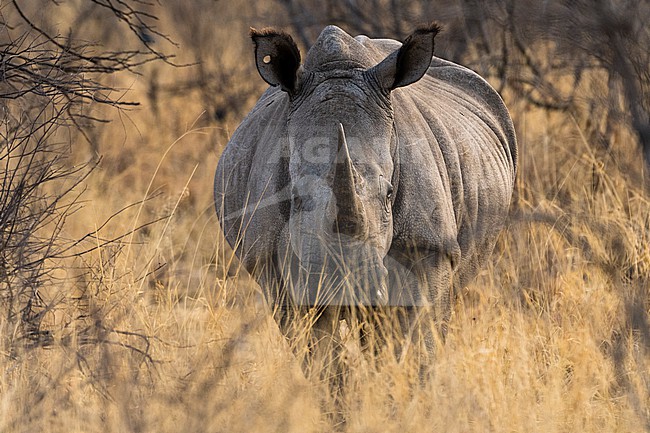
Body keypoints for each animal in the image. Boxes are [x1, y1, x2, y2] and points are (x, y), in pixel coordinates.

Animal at [214, 24, 517, 354]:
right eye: (295, 197)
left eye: (388, 194)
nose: (349, 285)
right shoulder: (270, 261)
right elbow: (317, 350)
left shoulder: (430, 248)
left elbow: (420, 339)